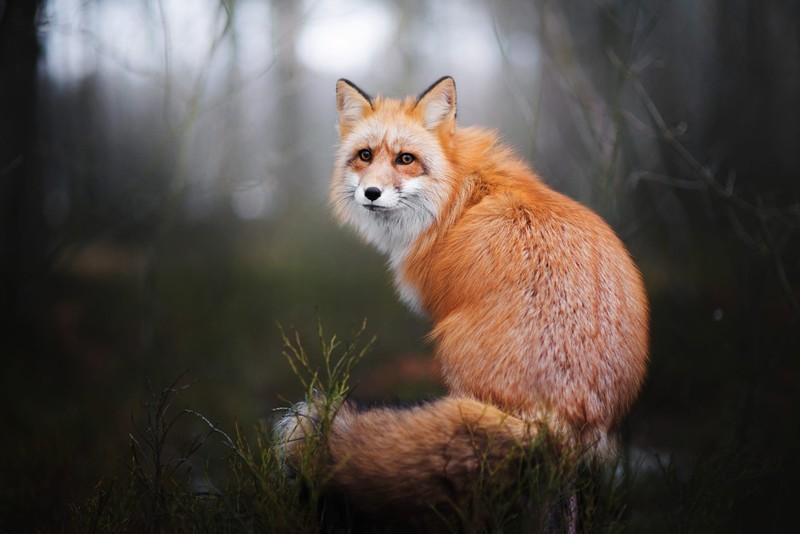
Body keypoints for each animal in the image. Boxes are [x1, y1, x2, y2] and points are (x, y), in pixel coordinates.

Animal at [276, 76, 649, 523]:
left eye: (406, 159)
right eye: (365, 155)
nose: (371, 193)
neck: (459, 194)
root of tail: (560, 415)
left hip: (451, 353)